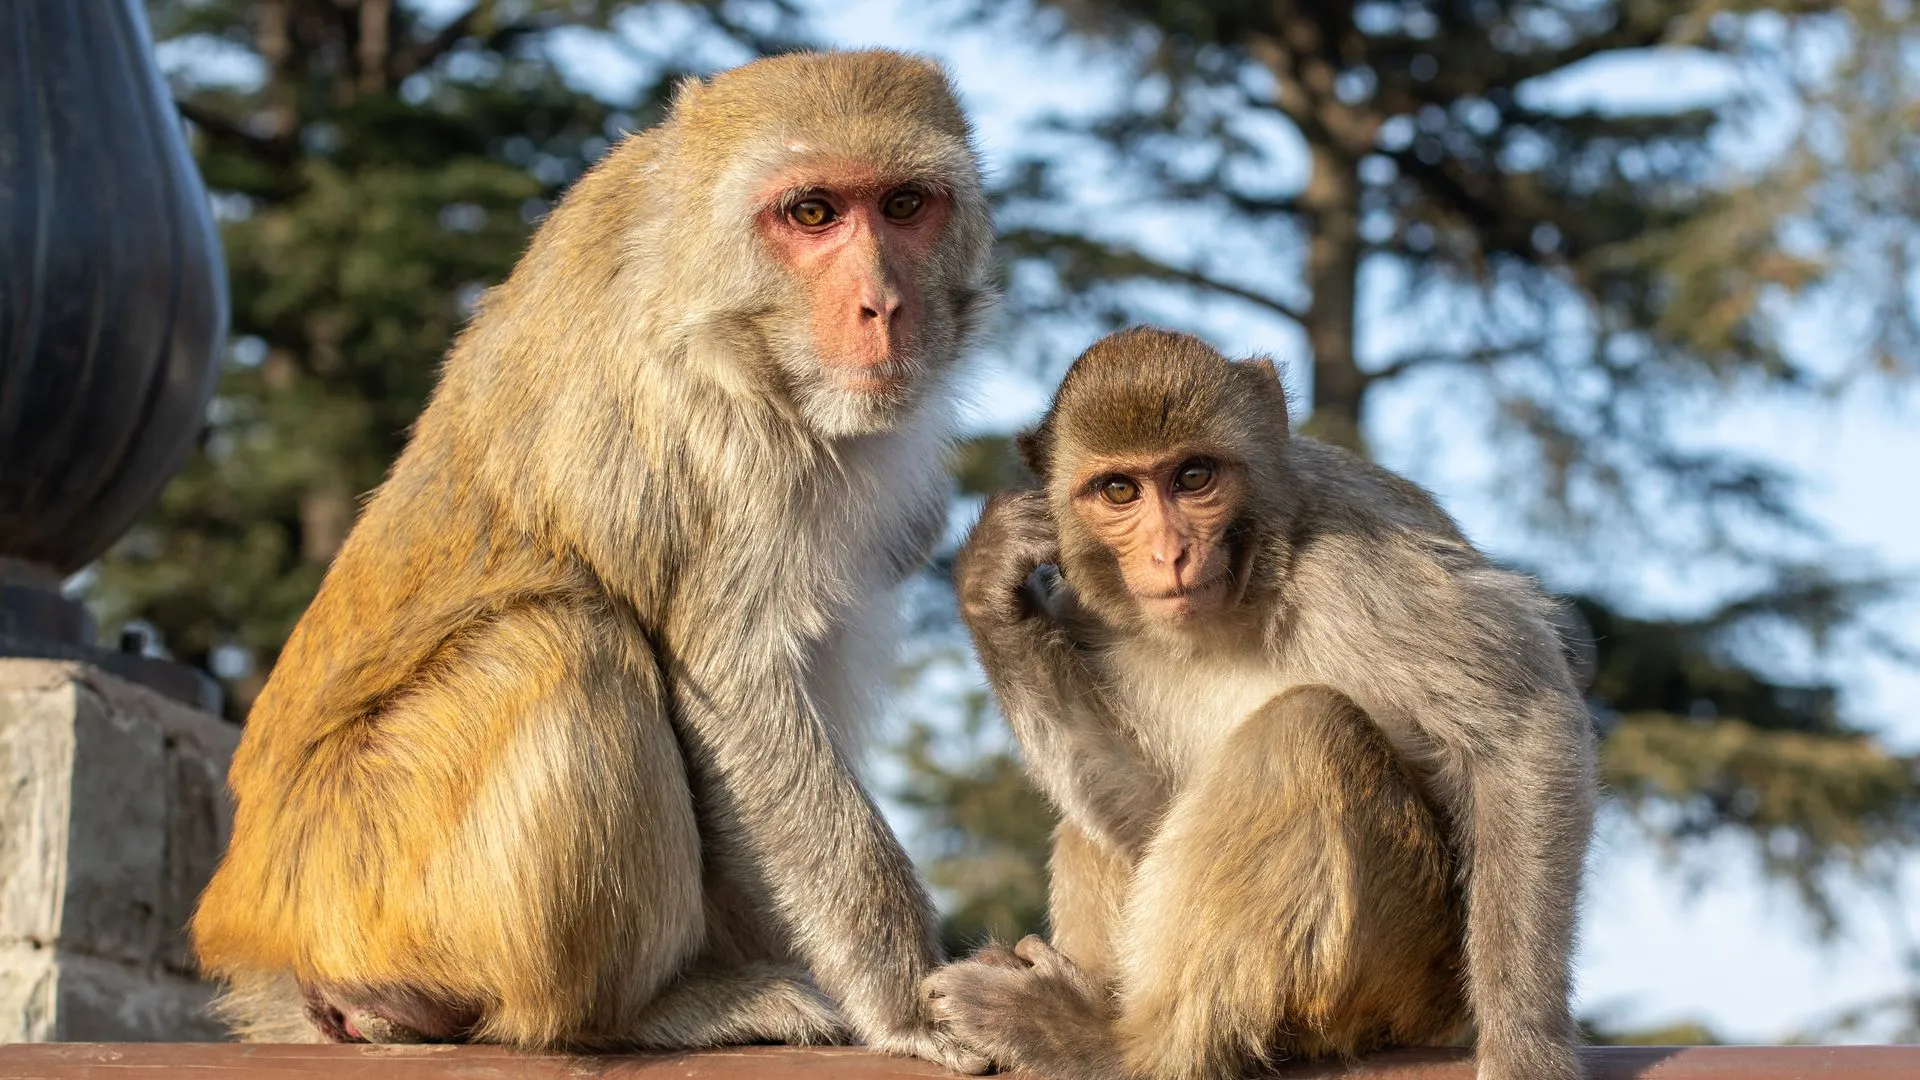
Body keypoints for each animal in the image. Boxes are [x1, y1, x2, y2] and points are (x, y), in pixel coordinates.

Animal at [187, 50, 995, 1069]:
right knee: (565, 644)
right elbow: (738, 690)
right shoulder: (718, 431)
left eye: (903, 205)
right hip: (373, 880)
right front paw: (911, 1005)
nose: (882, 306)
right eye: (812, 212)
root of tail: (256, 929)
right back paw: (640, 1012)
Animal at [923, 327, 1596, 1080]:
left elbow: (1521, 726)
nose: (1170, 552)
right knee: (1094, 824)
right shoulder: (1090, 617)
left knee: (1305, 728)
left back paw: (1106, 1043)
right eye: (1119, 489)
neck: (1242, 601)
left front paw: (1524, 1046)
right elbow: (1151, 815)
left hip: (1404, 979)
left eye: (1193, 477)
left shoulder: (1363, 569)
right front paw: (992, 592)